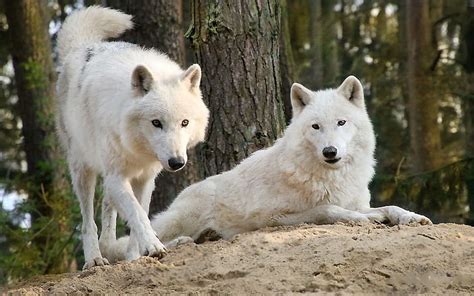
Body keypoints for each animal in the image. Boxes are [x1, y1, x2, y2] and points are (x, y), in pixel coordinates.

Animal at [54, 5, 208, 270]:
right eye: (156, 123)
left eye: (184, 123)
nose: (177, 163)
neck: (138, 147)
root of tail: (84, 46)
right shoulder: (117, 177)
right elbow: (136, 214)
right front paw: (154, 246)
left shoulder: (145, 178)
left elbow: (140, 215)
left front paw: (136, 256)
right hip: (83, 169)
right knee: (87, 221)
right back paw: (94, 259)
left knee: (107, 209)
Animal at [102, 75, 432, 262]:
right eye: (316, 126)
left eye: (341, 122)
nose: (330, 152)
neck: (330, 177)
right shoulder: (272, 217)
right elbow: (329, 210)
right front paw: (364, 220)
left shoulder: (357, 200)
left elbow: (388, 207)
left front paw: (410, 216)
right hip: (183, 218)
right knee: (145, 236)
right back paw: (178, 242)